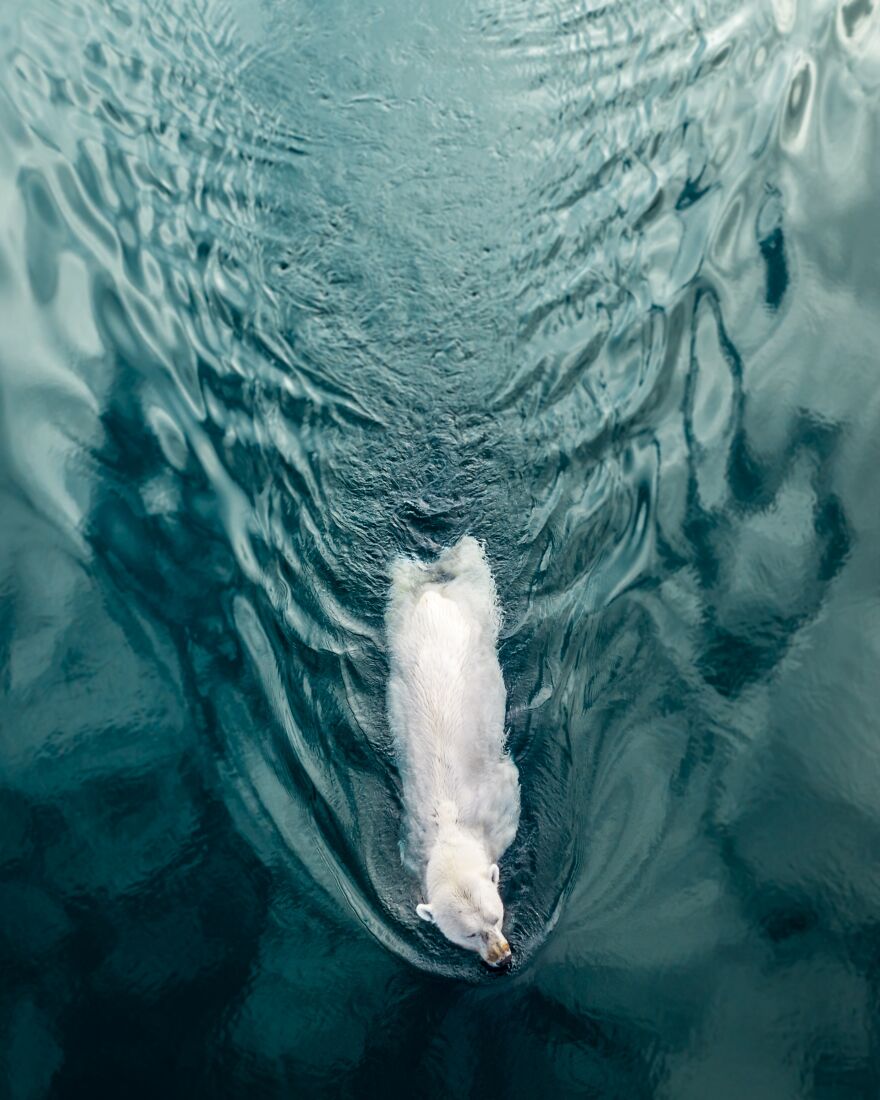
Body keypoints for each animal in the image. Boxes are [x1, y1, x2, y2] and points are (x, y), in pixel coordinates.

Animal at [385, 536, 520, 967]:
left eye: (495, 916)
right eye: (468, 934)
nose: (502, 959)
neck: (450, 827)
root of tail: (434, 597)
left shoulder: (501, 810)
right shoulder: (412, 842)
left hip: (476, 601)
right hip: (398, 615)